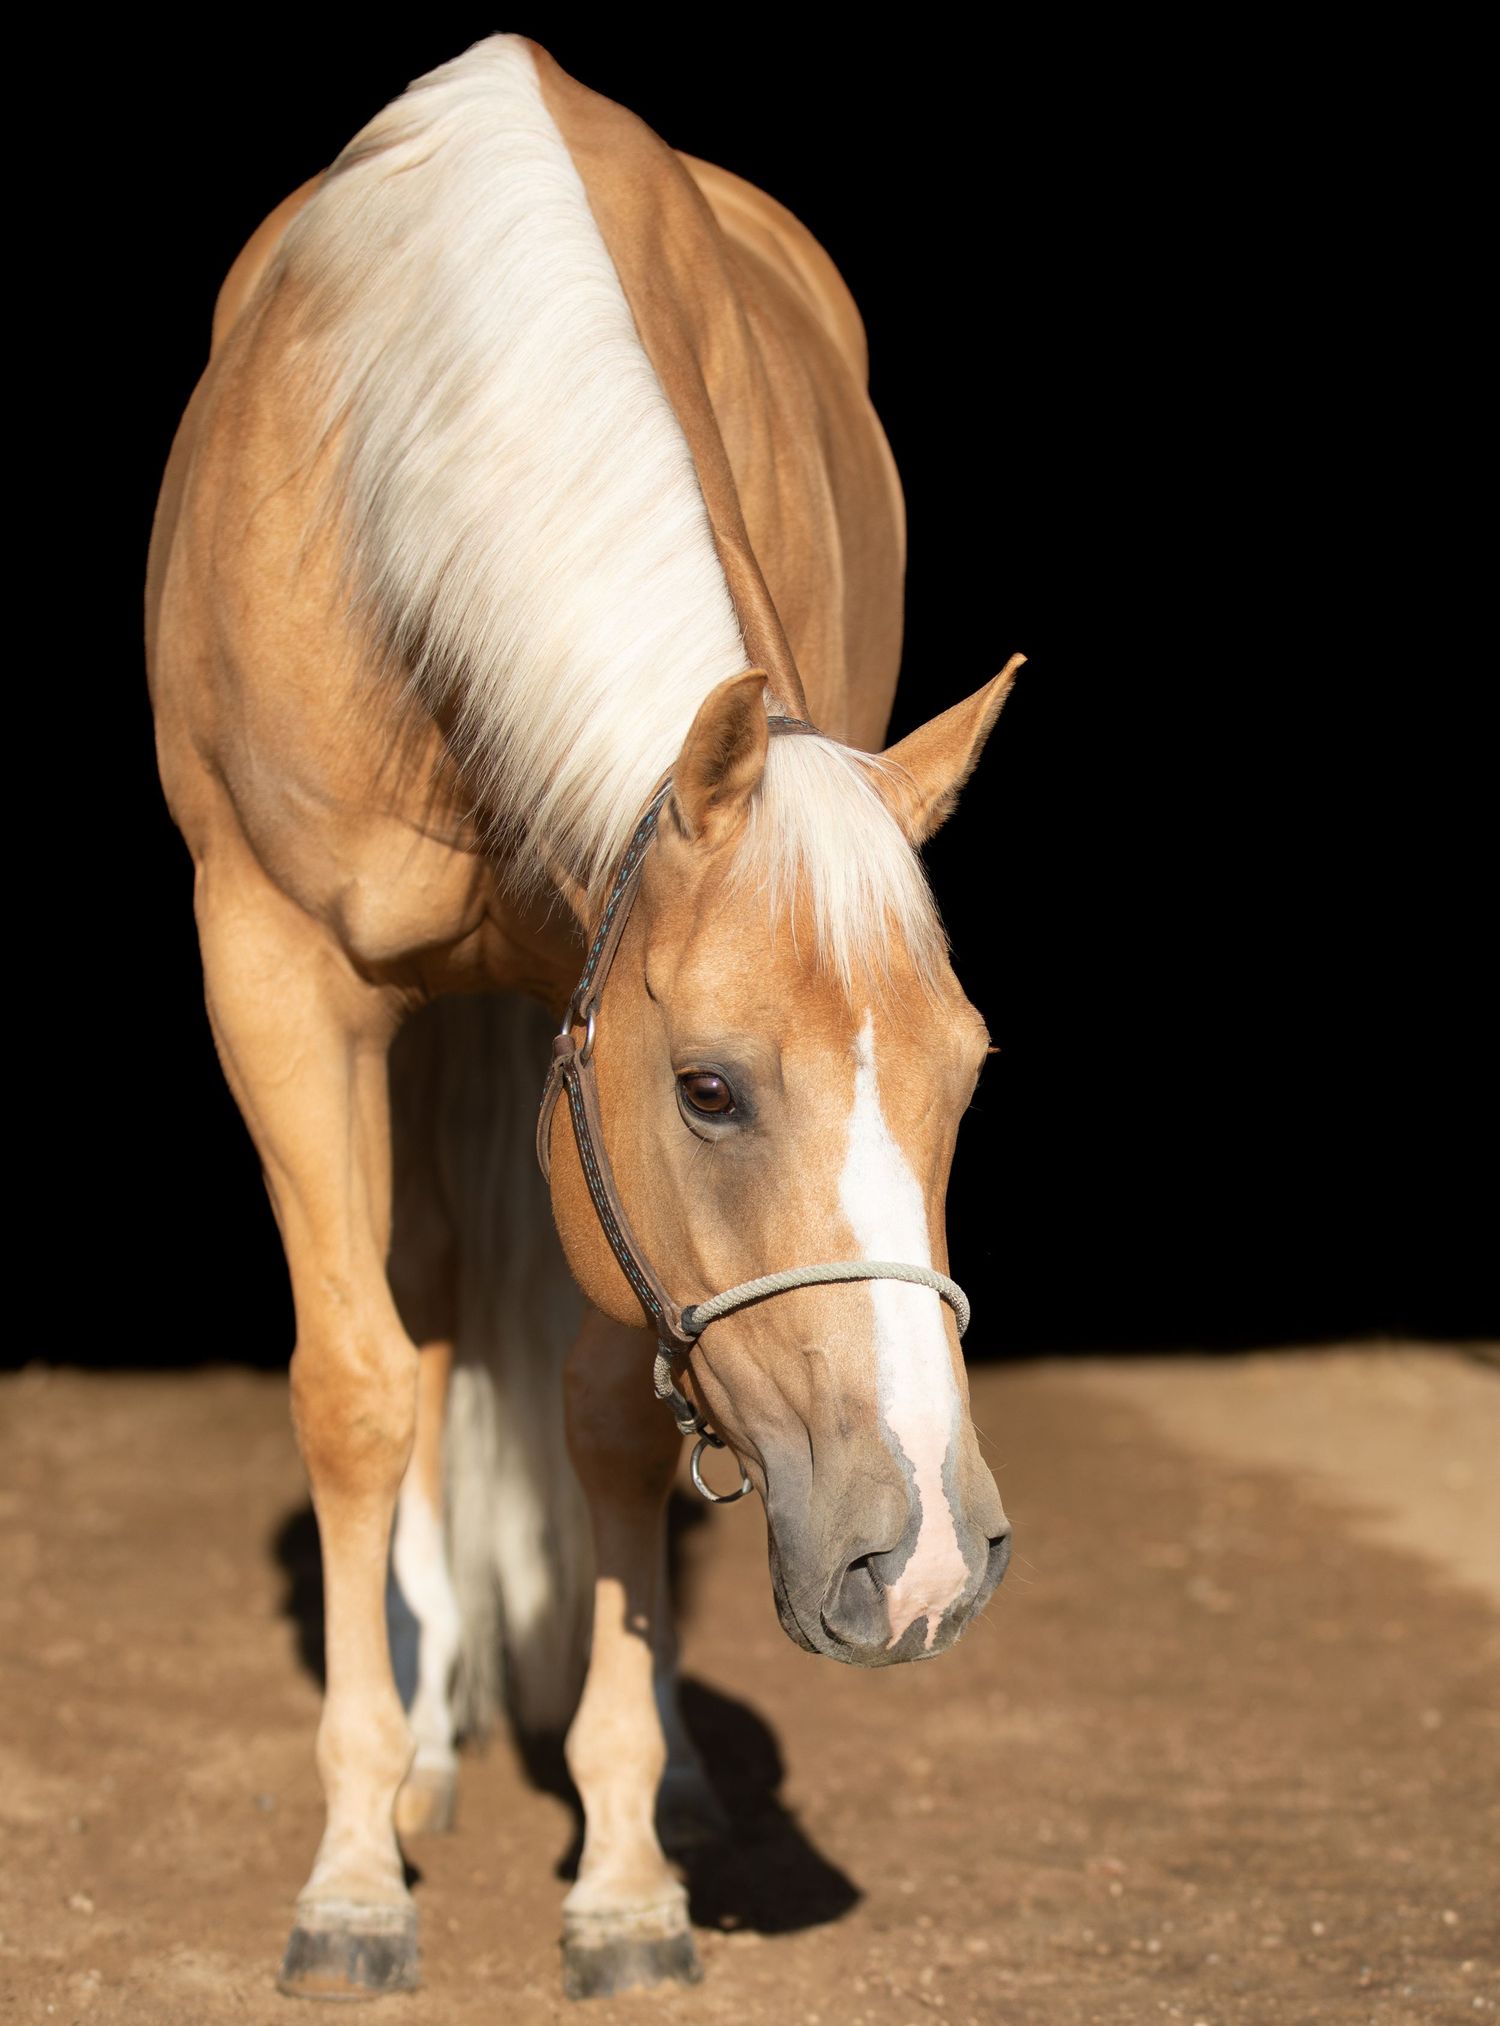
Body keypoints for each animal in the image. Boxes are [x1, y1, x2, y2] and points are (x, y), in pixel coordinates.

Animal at [146, 33, 1020, 2002]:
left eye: (966, 1079)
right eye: (709, 1089)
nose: (926, 1562)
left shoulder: (569, 1003)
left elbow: (614, 1416)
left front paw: (625, 1874)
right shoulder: (278, 979)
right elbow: (355, 1390)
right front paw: (352, 1872)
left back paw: (667, 1775)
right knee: (425, 1312)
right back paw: (429, 1738)